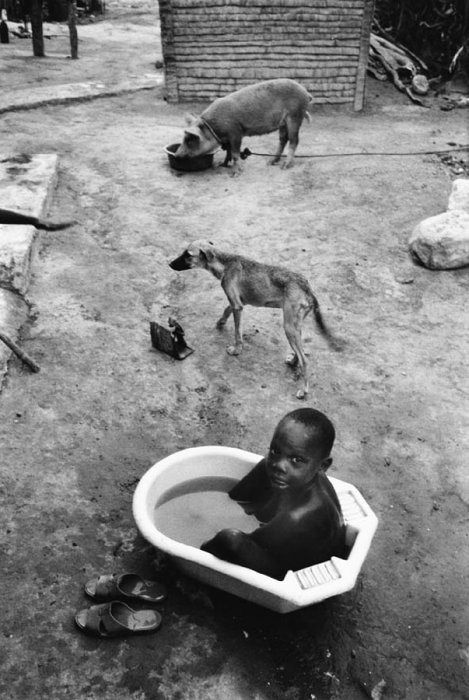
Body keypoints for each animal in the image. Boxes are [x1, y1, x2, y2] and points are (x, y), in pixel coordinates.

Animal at [168, 241, 340, 396]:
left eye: (188, 254)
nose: (169, 264)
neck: (225, 263)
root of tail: (307, 288)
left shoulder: (238, 306)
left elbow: (237, 333)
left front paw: (236, 350)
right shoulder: (238, 302)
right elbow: (226, 309)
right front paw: (220, 322)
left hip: (289, 326)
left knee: (305, 360)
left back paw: (304, 390)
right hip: (295, 325)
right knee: (300, 353)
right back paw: (292, 362)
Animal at [175, 77, 310, 173]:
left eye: (190, 139)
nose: (176, 154)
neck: (214, 129)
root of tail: (305, 92)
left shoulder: (236, 132)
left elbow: (235, 153)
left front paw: (236, 173)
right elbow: (228, 152)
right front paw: (222, 165)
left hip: (295, 116)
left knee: (294, 140)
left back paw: (285, 166)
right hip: (283, 123)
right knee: (283, 139)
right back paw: (271, 162)